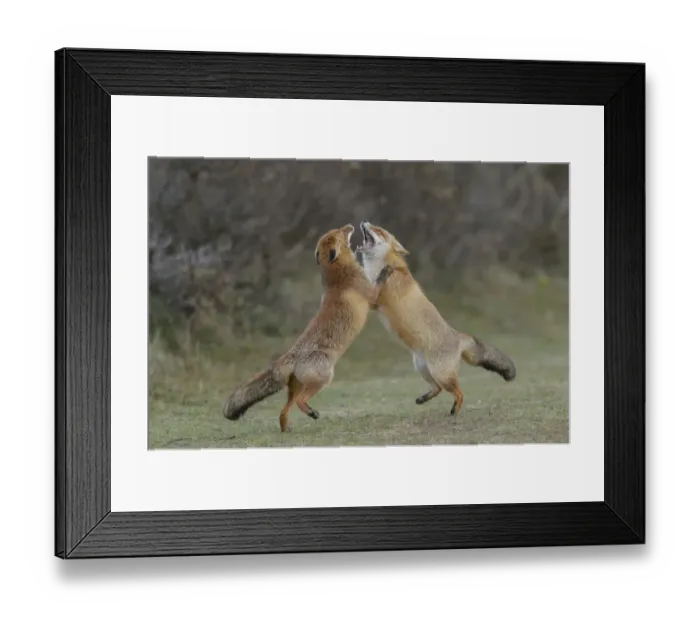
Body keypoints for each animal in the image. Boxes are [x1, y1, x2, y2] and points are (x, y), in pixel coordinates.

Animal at [223, 224, 393, 432]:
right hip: (324, 378)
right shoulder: (371, 296)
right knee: (299, 401)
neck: (337, 274)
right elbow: (379, 282)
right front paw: (386, 270)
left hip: (297, 388)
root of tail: (290, 356)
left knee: (283, 411)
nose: (350, 226)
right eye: (340, 232)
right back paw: (309, 413)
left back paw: (287, 428)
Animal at [355, 220, 516, 417]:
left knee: (459, 392)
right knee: (438, 389)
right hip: (423, 369)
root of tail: (458, 336)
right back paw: (423, 399)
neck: (377, 267)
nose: (364, 222)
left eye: (379, 231)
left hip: (440, 374)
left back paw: (454, 410)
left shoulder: (376, 297)